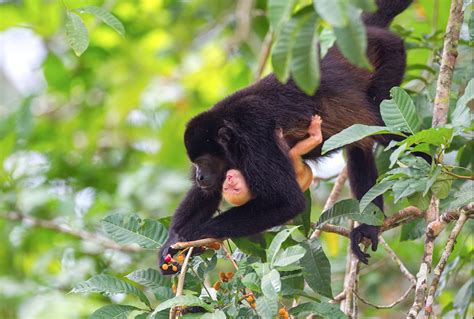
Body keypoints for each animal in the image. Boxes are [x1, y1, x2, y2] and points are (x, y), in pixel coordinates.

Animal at [159, 0, 412, 270]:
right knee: (358, 147)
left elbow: (288, 201)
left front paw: (196, 235)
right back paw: (368, 228)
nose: (199, 176)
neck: (231, 131)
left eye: (205, 162)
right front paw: (171, 242)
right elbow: (208, 195)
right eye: (195, 163)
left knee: (389, 132)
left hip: (390, 55)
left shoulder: (254, 133)